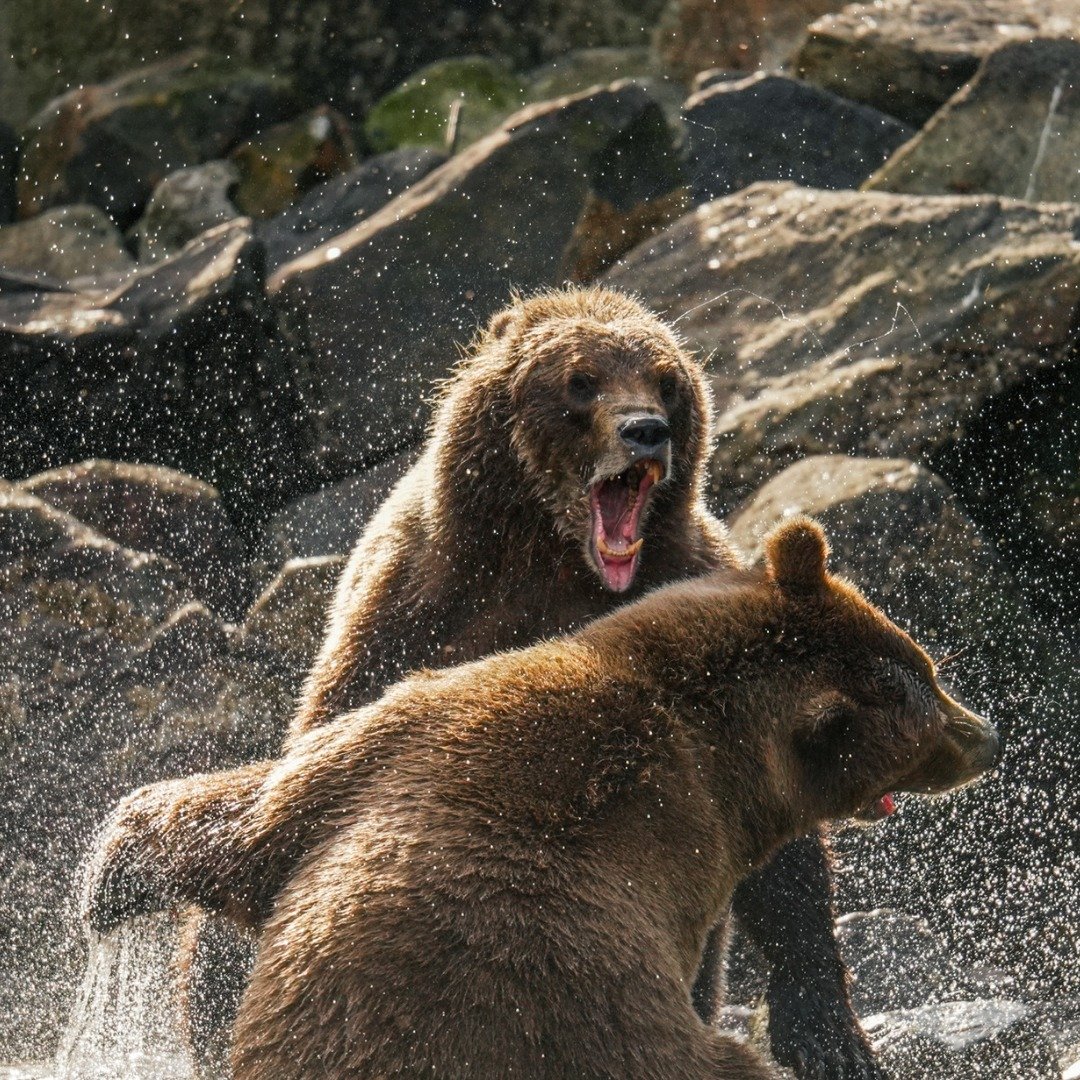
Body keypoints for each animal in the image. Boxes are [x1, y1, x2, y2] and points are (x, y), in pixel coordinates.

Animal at [87, 288, 878, 1079]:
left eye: (667, 381)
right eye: (582, 380)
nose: (647, 432)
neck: (554, 557)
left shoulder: (693, 583)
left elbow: (781, 844)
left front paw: (828, 1031)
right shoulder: (412, 607)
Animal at [146, 520, 999, 1080]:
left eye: (925, 665)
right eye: (926, 694)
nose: (984, 735)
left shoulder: (406, 733)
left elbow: (249, 822)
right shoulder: (674, 848)